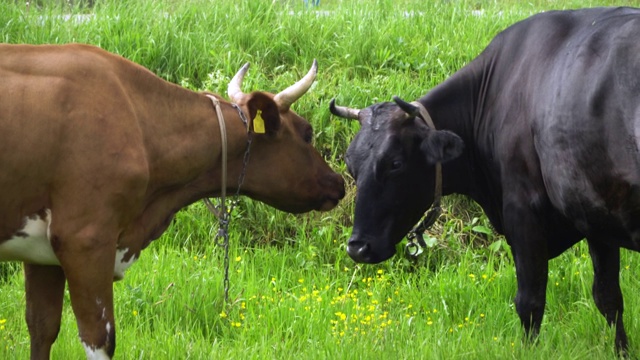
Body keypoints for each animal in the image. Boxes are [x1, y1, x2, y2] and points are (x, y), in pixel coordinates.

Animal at [0, 43, 344, 358]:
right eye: (307, 132)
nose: (339, 183)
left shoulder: (41, 253)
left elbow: (42, 328)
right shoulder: (84, 240)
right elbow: (99, 339)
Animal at [332, 6, 640, 354]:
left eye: (395, 163)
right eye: (350, 164)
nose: (358, 247)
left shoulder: (523, 212)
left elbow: (529, 302)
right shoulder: (594, 212)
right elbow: (608, 297)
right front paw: (622, 352)